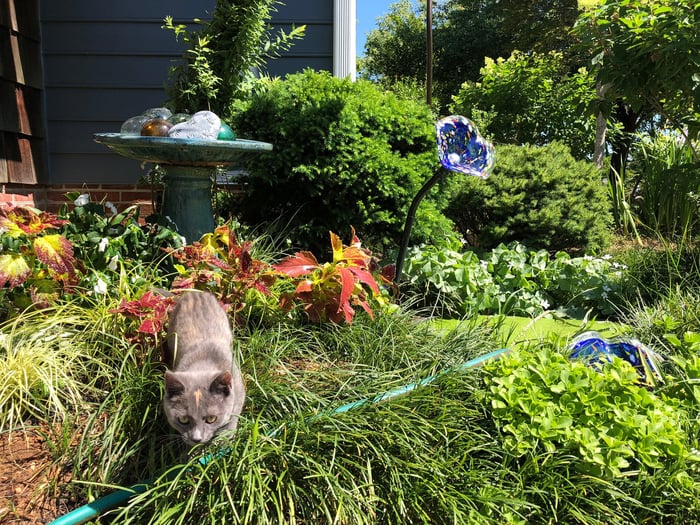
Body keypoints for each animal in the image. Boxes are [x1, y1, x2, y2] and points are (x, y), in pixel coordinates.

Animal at [162, 288, 246, 444]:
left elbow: (234, 413)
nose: (196, 439)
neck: (204, 363)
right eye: (183, 420)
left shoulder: (238, 389)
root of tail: (193, 292)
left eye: (211, 419)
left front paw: (226, 436)